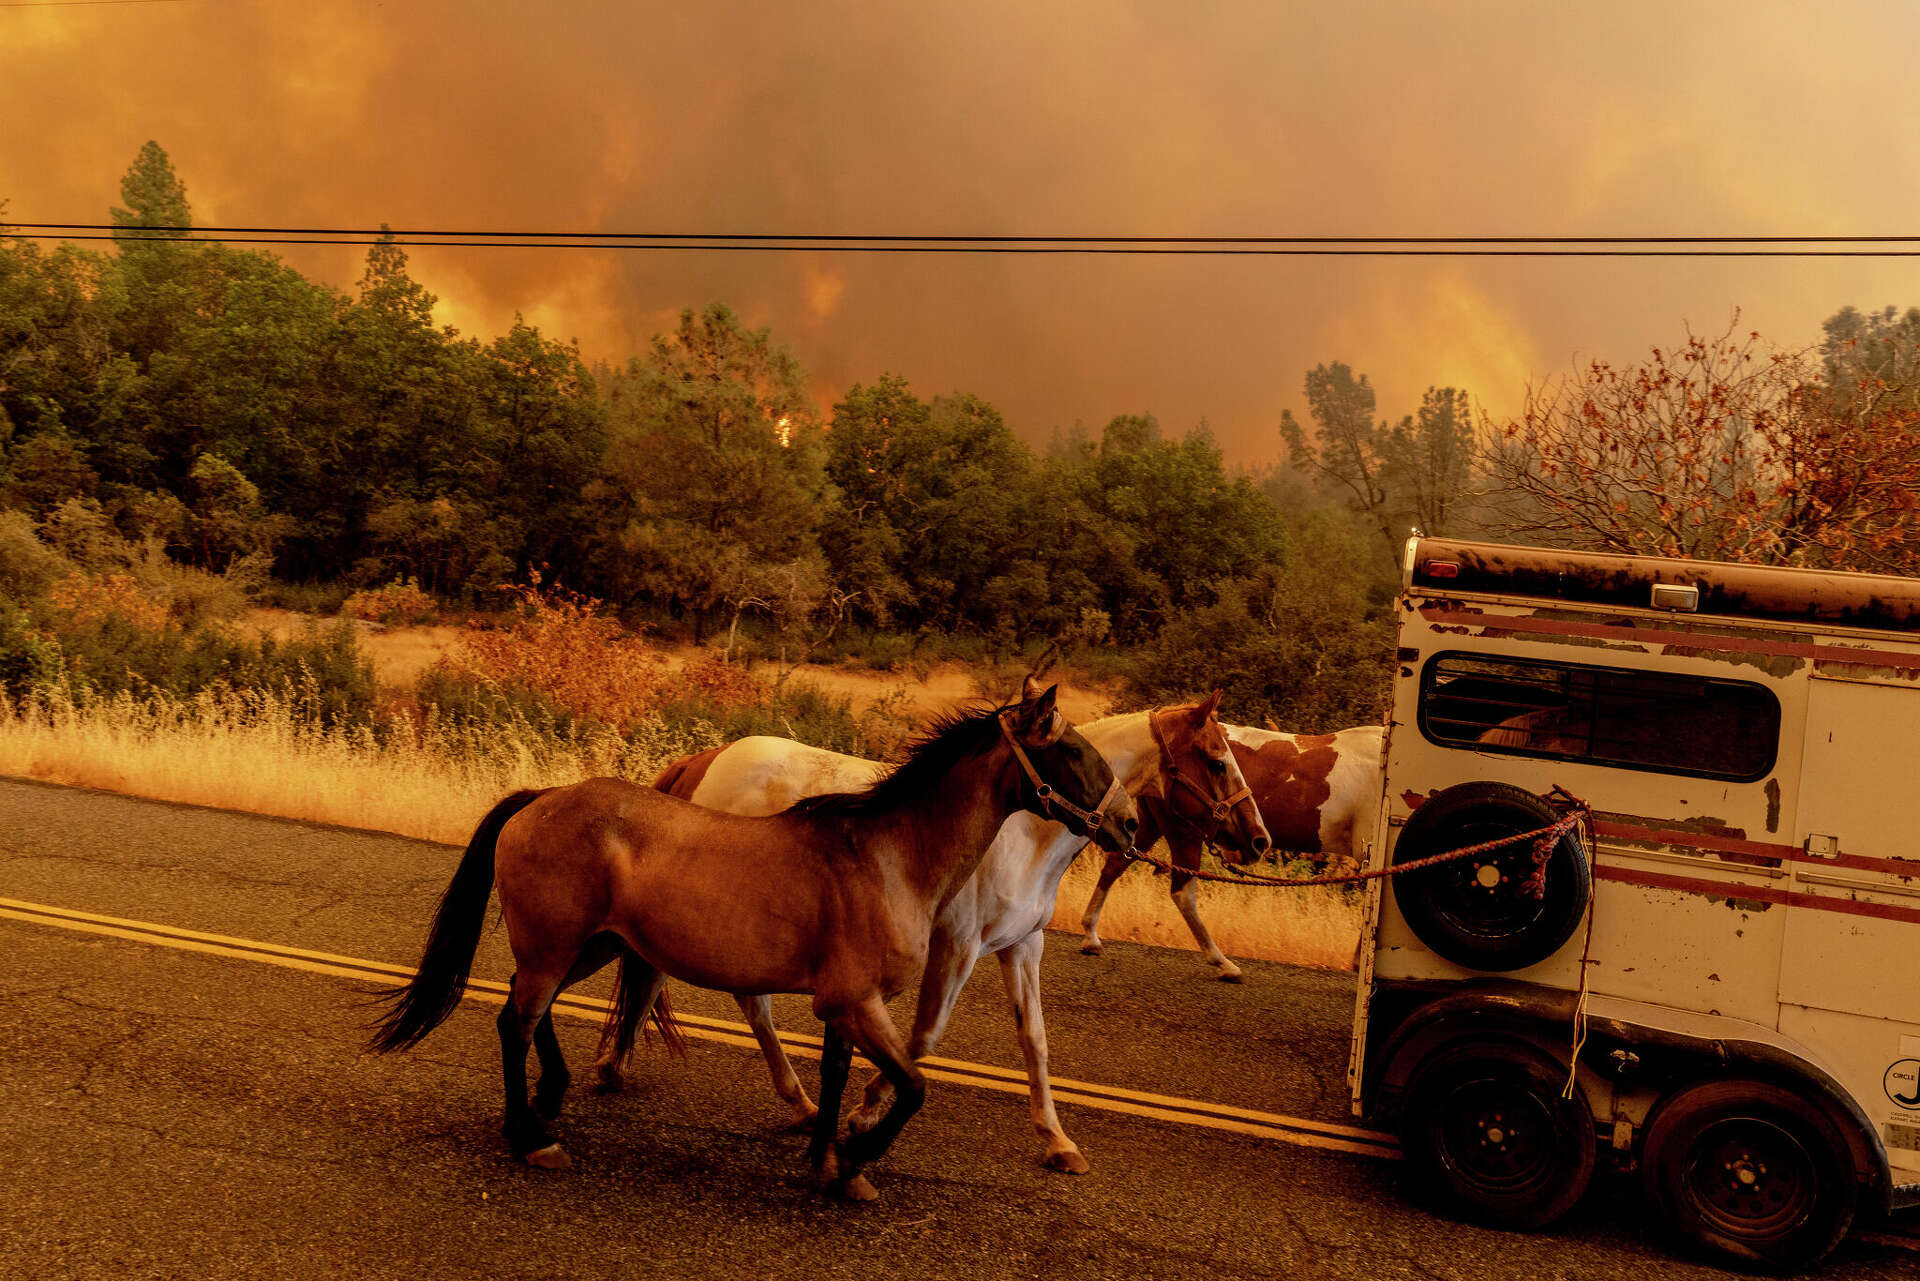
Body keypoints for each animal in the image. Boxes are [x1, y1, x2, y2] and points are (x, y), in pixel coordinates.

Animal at [364, 687, 1128, 1198]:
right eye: (1071, 750)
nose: (1123, 824)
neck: (889, 854)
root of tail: (540, 798)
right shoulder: (856, 1000)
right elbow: (912, 1086)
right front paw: (857, 1155)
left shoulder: (845, 1004)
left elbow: (838, 1074)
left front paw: (827, 1159)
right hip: (555, 947)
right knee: (515, 1022)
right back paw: (531, 1135)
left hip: (588, 947)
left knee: (528, 1011)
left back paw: (550, 1098)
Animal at [591, 695, 1267, 1175]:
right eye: (1216, 759)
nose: (1258, 839)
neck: (1024, 834)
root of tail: (705, 760)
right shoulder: (957, 947)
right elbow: (923, 1037)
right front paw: (865, 1115)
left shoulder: (1021, 947)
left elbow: (1035, 1041)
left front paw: (1057, 1141)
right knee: (707, 990)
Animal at [1082, 722, 1382, 983]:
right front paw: (1361, 962)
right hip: (1185, 833)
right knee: (1182, 894)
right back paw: (1223, 963)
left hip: (1153, 824)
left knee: (1115, 865)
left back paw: (1090, 934)